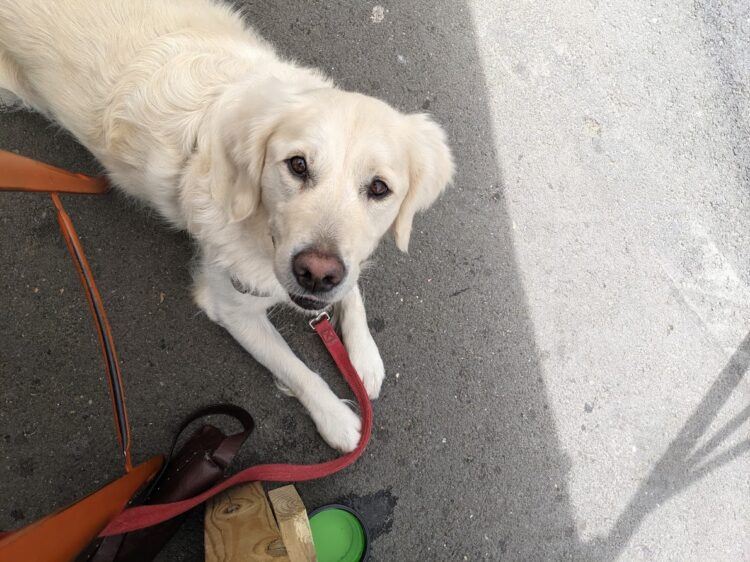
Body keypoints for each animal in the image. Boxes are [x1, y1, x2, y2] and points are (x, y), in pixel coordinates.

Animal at [0, 0, 456, 450]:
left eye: (379, 188)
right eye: (297, 165)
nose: (316, 274)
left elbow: (353, 290)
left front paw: (363, 357)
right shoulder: (231, 304)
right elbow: (296, 370)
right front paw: (336, 419)